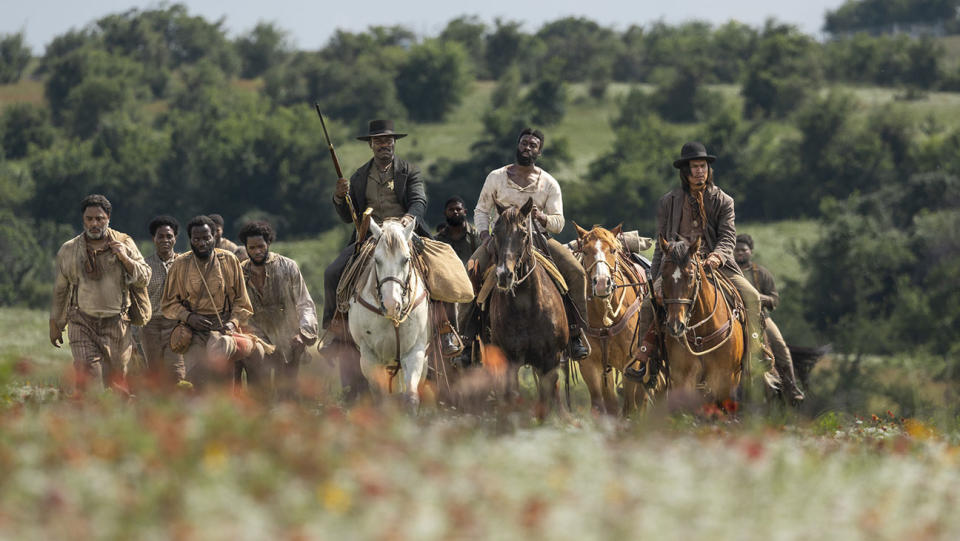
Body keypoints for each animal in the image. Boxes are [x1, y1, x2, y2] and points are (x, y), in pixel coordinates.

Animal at [348, 217, 432, 408]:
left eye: (406, 259)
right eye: (377, 260)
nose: (391, 305)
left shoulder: (415, 352)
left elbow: (411, 396)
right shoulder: (370, 356)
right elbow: (381, 399)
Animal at [488, 198, 568, 414]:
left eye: (523, 233)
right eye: (495, 232)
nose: (504, 275)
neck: (526, 309)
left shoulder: (551, 359)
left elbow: (547, 401)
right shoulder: (509, 359)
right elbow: (512, 398)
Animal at [572, 221, 656, 416]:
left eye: (613, 250)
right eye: (585, 251)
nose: (602, 283)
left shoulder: (631, 362)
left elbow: (630, 407)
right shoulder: (591, 365)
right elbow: (606, 406)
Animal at [656, 234, 748, 408]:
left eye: (690, 276)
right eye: (663, 276)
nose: (675, 325)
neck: (701, 334)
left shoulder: (726, 379)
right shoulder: (682, 377)